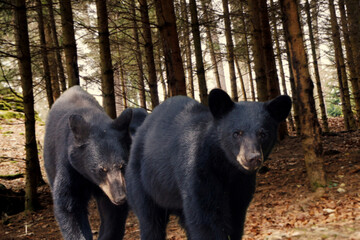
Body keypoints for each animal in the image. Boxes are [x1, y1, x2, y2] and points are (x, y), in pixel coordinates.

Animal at [43, 86, 147, 240]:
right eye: (101, 169)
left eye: (122, 166)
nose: (120, 197)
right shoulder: (70, 168)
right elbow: (69, 205)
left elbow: (113, 214)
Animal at [125, 88, 292, 240]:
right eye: (237, 133)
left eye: (263, 134)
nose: (252, 158)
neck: (226, 166)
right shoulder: (199, 172)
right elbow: (206, 220)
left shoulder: (241, 184)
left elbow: (235, 218)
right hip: (141, 182)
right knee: (150, 221)